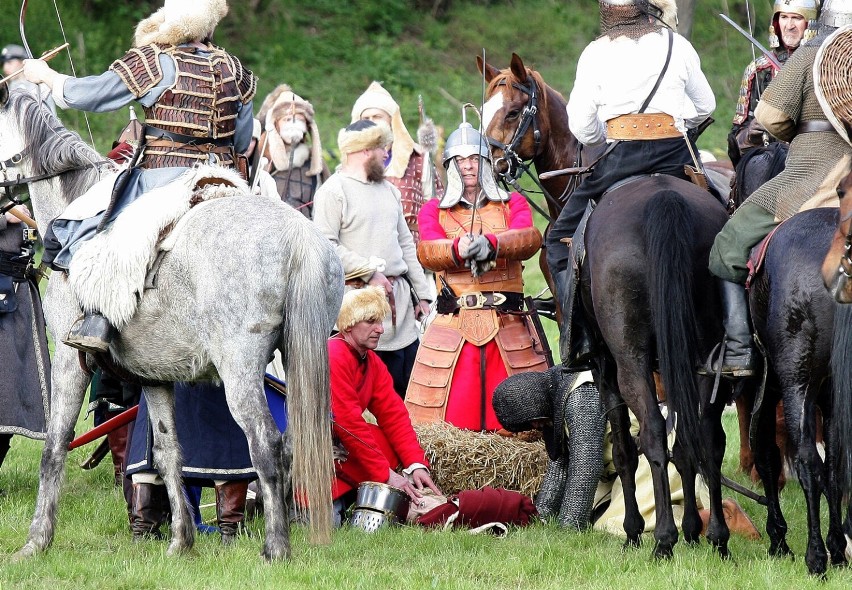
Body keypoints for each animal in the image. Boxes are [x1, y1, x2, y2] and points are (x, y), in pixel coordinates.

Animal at [0, 85, 340, 560]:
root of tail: (298, 237)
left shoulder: (70, 361)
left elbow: (55, 446)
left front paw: (36, 541)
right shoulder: (153, 376)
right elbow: (166, 452)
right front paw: (181, 540)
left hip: (241, 370)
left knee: (267, 446)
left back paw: (275, 548)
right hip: (296, 356)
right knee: (294, 443)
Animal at [480, 53, 732, 560]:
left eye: (514, 112)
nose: (493, 166)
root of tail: (663, 199)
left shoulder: (601, 359)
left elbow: (622, 441)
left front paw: (636, 527)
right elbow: (682, 436)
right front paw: (693, 525)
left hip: (630, 357)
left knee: (651, 432)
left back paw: (660, 538)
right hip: (702, 353)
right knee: (704, 433)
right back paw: (713, 535)